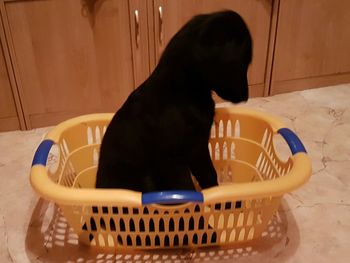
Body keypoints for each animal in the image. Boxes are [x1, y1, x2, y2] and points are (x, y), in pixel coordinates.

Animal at [95, 10, 253, 192]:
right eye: (242, 62)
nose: (246, 97)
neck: (182, 91)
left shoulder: (198, 147)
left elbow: (209, 174)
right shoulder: (172, 160)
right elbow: (186, 187)